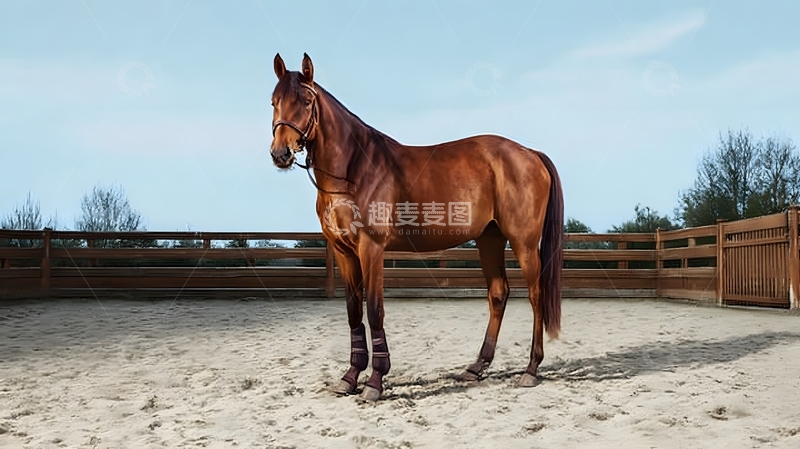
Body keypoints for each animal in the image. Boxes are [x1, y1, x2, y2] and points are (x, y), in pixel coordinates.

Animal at [269, 53, 563, 401]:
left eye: (305, 100)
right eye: (274, 101)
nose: (280, 153)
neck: (355, 168)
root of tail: (530, 153)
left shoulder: (372, 249)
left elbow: (374, 310)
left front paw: (375, 381)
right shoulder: (343, 251)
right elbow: (354, 310)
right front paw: (350, 377)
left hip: (524, 243)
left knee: (535, 295)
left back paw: (531, 369)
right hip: (489, 239)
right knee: (498, 294)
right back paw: (476, 367)